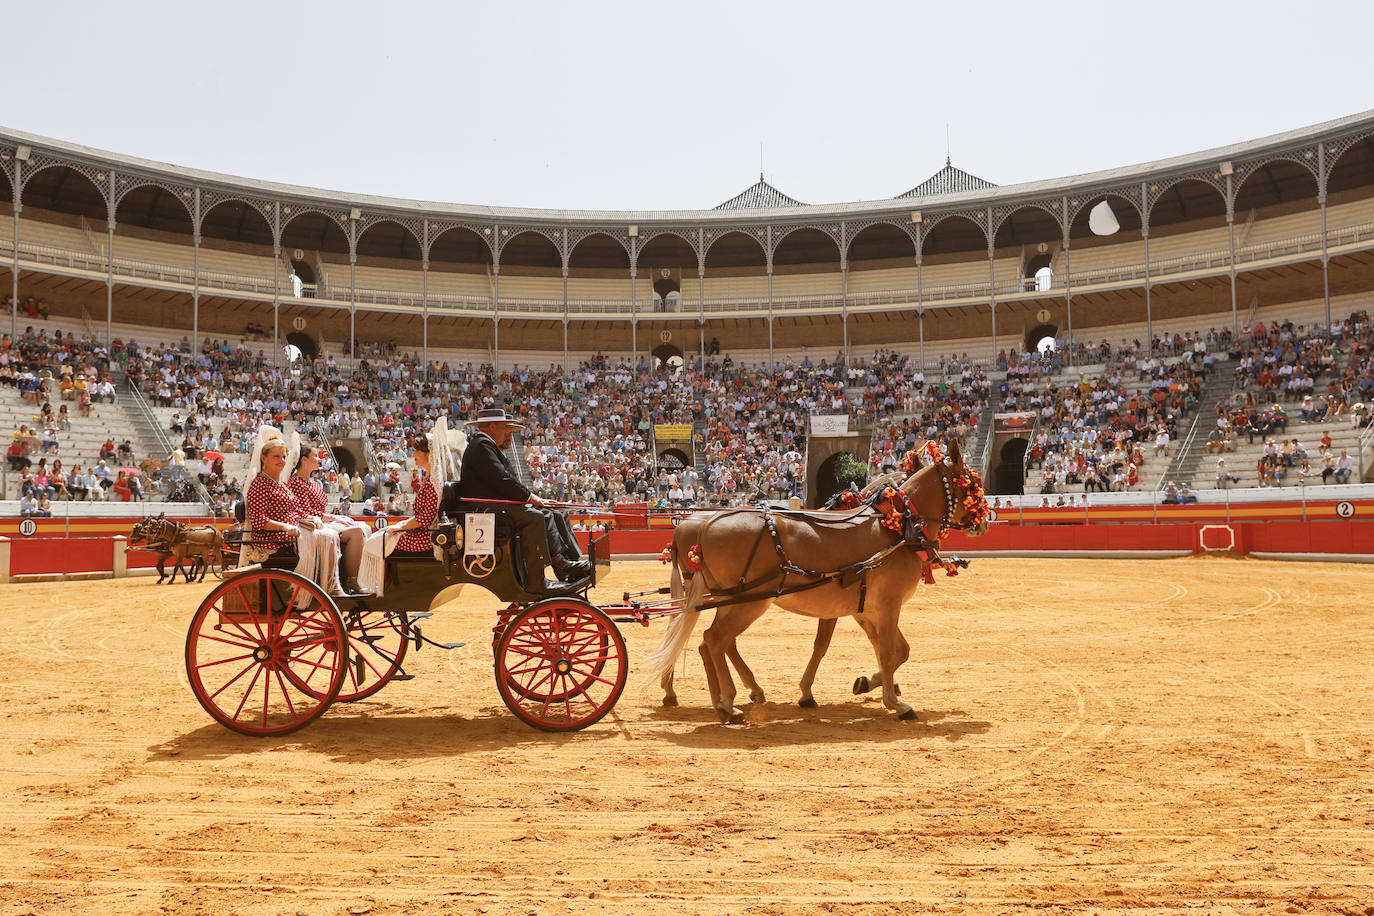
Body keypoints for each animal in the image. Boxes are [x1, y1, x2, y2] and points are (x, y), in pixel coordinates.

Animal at [643, 439, 989, 725]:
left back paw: (721, 699)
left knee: (708, 642)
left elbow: (892, 650)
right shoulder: (887, 605)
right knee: (714, 640)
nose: (984, 521)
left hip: (731, 600)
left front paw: (869, 683)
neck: (898, 528)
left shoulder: (866, 608)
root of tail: (702, 525)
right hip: (748, 602)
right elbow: (887, 651)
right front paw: (895, 703)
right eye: (973, 483)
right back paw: (727, 702)